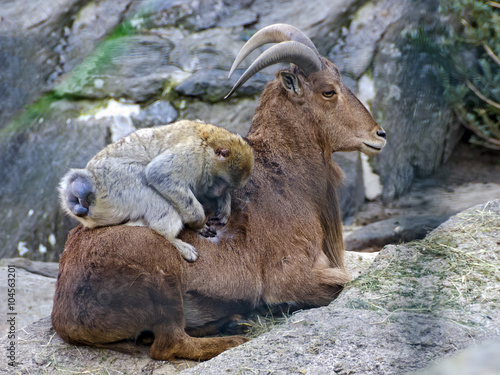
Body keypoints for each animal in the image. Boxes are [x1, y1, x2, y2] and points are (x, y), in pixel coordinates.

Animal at [59, 120, 254, 262]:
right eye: (222, 181)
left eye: (229, 186)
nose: (221, 191)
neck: (209, 141)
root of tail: (90, 178)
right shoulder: (194, 154)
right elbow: (160, 174)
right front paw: (198, 224)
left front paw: (224, 203)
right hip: (115, 183)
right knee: (145, 182)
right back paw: (170, 239)